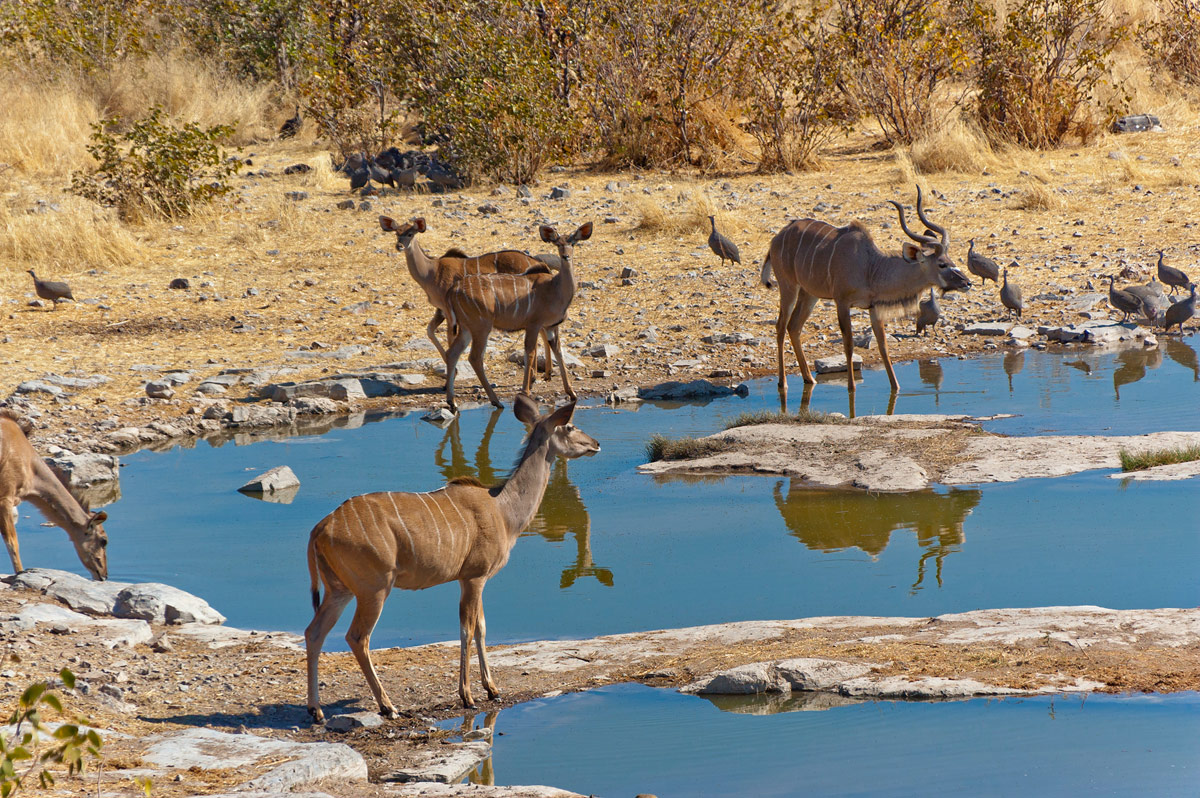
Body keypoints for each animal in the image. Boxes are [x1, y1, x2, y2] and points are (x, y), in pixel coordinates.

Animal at [304, 396, 595, 720]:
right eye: (569, 426)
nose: (595, 444)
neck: (503, 511)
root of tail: (320, 528)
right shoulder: (474, 576)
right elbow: (467, 629)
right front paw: (468, 696)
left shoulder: (472, 579)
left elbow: (481, 627)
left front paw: (493, 689)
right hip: (374, 588)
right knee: (357, 637)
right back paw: (388, 706)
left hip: (339, 589)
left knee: (314, 632)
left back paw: (316, 709)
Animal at [376, 216, 554, 381]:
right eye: (396, 233)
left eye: (410, 234)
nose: (399, 246)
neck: (431, 271)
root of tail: (537, 262)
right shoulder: (441, 309)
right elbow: (430, 330)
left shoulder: (448, 311)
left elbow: (449, 336)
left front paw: (452, 374)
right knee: (544, 329)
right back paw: (546, 373)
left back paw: (536, 374)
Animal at [444, 222, 592, 410]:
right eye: (558, 243)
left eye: (573, 242)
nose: (565, 256)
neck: (555, 288)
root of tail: (453, 290)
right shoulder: (534, 324)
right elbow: (530, 352)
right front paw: (525, 391)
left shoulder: (551, 327)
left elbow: (558, 352)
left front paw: (571, 393)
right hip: (481, 327)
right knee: (475, 357)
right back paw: (496, 400)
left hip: (466, 328)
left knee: (452, 353)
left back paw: (452, 401)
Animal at [763, 187, 969, 398]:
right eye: (942, 264)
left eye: (951, 260)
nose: (967, 283)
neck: (871, 267)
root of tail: (776, 239)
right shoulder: (842, 302)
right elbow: (849, 344)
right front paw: (851, 388)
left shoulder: (873, 308)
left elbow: (883, 345)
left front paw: (896, 388)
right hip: (789, 286)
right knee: (781, 326)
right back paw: (783, 383)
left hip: (809, 294)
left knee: (794, 326)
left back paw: (809, 379)